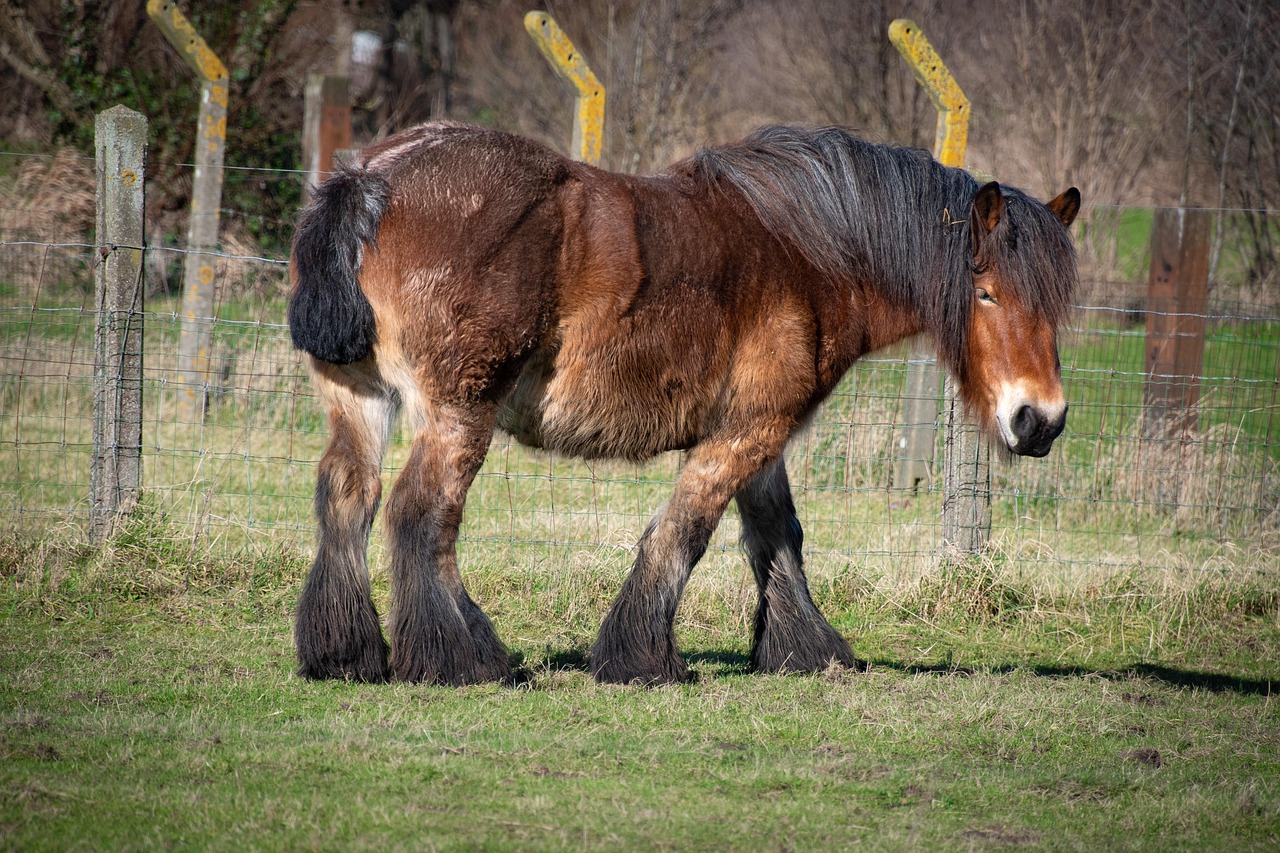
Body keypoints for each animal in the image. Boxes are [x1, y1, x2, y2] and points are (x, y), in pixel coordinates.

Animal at [290, 121, 1080, 686]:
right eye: (987, 292)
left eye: (1055, 302)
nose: (1040, 420)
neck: (807, 254)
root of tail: (369, 179)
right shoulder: (746, 433)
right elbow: (683, 534)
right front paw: (641, 659)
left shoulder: (762, 436)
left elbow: (777, 537)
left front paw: (806, 649)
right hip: (460, 412)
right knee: (421, 514)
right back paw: (464, 659)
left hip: (360, 401)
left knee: (348, 495)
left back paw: (346, 653)